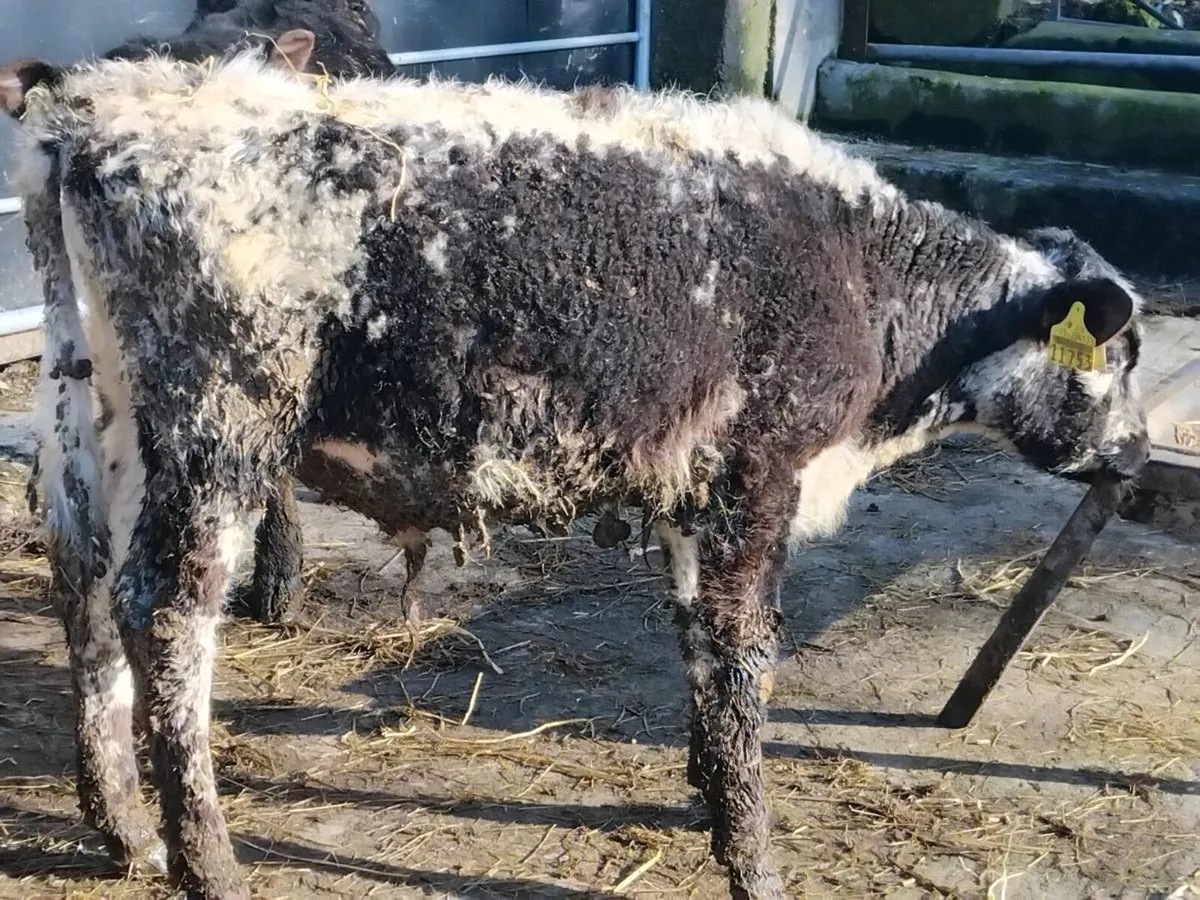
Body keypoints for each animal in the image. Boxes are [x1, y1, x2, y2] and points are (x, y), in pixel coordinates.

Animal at [0, 44, 1148, 899]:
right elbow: (743, 657)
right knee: (165, 613)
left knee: (82, 578)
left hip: (87, 413)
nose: (1137, 457)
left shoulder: (692, 491)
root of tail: (98, 108)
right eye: (1120, 357)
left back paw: (124, 830)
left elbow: (699, 648)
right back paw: (208, 863)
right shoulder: (758, 473)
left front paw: (705, 797)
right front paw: (755, 860)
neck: (864, 275)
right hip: (217, 425)